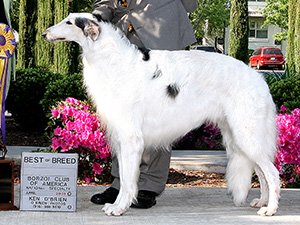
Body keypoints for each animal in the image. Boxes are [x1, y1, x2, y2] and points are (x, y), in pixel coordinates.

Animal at [43, 12, 280, 216]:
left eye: (69, 22)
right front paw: (117, 203)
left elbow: (128, 181)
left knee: (273, 174)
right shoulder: (121, 137)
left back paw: (270, 209)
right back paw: (262, 201)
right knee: (262, 173)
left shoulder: (131, 138)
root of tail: (259, 78)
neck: (111, 58)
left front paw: (119, 208)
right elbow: (123, 178)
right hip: (241, 137)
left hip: (247, 135)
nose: (44, 33)